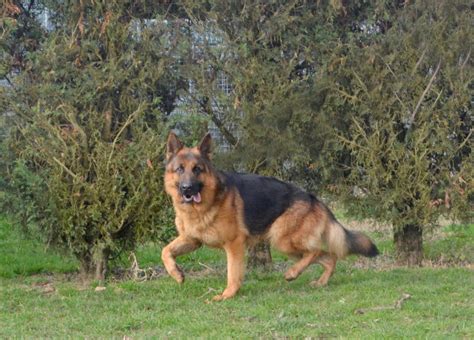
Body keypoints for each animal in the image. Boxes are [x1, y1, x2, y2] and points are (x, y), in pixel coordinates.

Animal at [163, 132, 378, 300]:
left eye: (197, 169)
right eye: (180, 169)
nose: (187, 188)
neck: (204, 205)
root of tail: (313, 198)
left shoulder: (234, 244)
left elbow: (233, 273)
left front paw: (227, 295)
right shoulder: (192, 240)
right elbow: (165, 252)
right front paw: (176, 274)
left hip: (282, 240)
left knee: (316, 251)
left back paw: (292, 273)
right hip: (289, 245)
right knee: (329, 256)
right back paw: (321, 281)